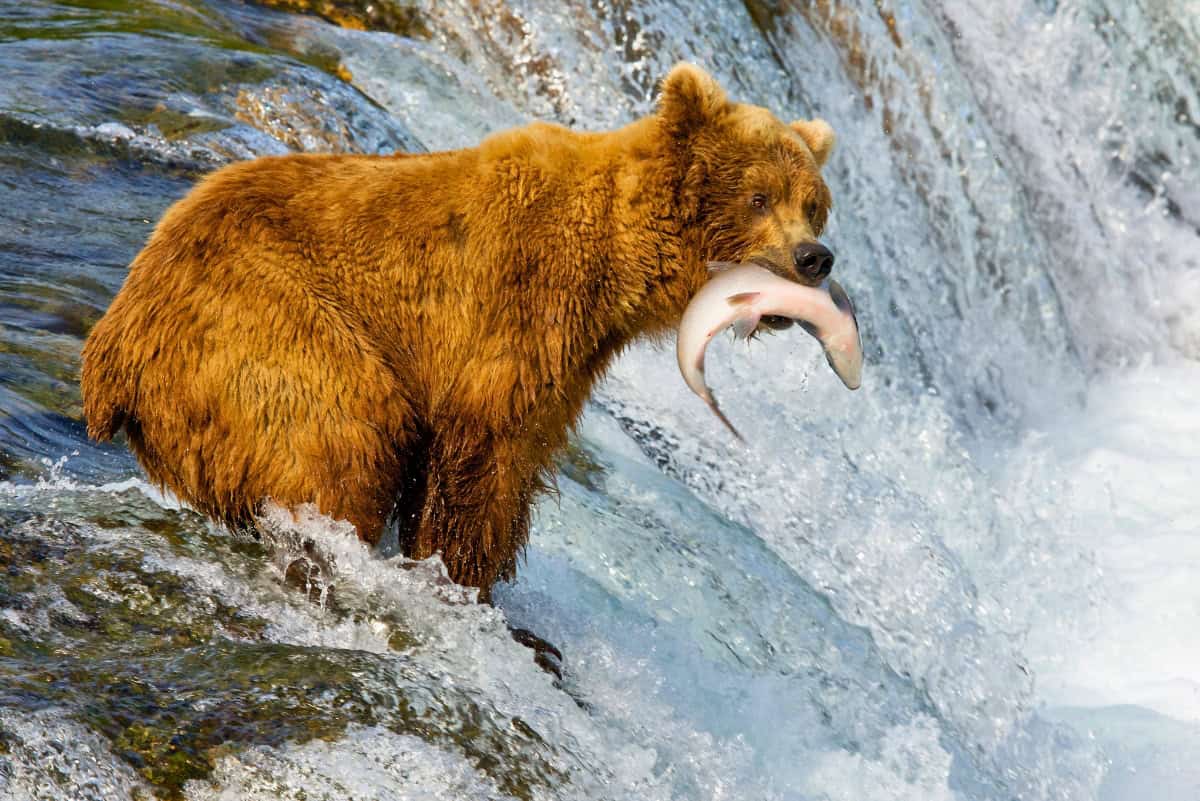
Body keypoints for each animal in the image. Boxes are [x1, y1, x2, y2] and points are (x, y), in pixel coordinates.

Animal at [81, 63, 837, 601]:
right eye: (759, 196)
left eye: (813, 204)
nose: (815, 258)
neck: (617, 260)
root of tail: (110, 347)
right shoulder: (517, 305)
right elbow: (482, 454)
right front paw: (457, 575)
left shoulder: (571, 356)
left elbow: (519, 459)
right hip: (263, 318)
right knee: (346, 430)